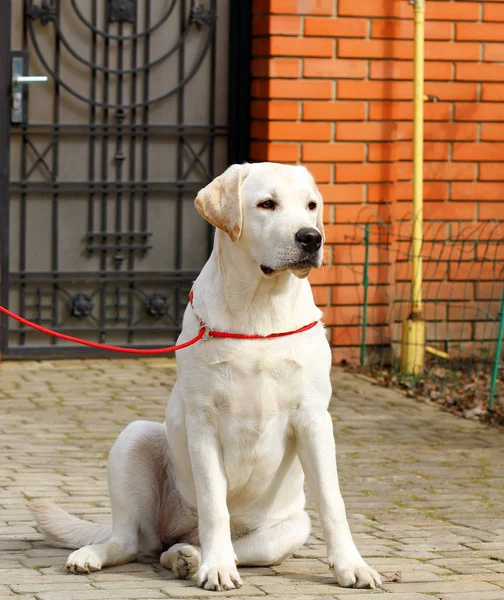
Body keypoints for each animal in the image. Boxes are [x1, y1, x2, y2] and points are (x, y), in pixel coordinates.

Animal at [29, 163, 380, 592]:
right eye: (267, 204)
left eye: (312, 206)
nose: (311, 238)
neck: (260, 311)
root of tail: (175, 532)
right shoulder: (203, 420)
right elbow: (215, 504)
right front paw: (216, 570)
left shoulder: (313, 418)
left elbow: (333, 501)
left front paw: (352, 565)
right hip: (135, 439)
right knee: (131, 540)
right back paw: (105, 554)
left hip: (289, 529)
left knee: (222, 546)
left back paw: (187, 557)